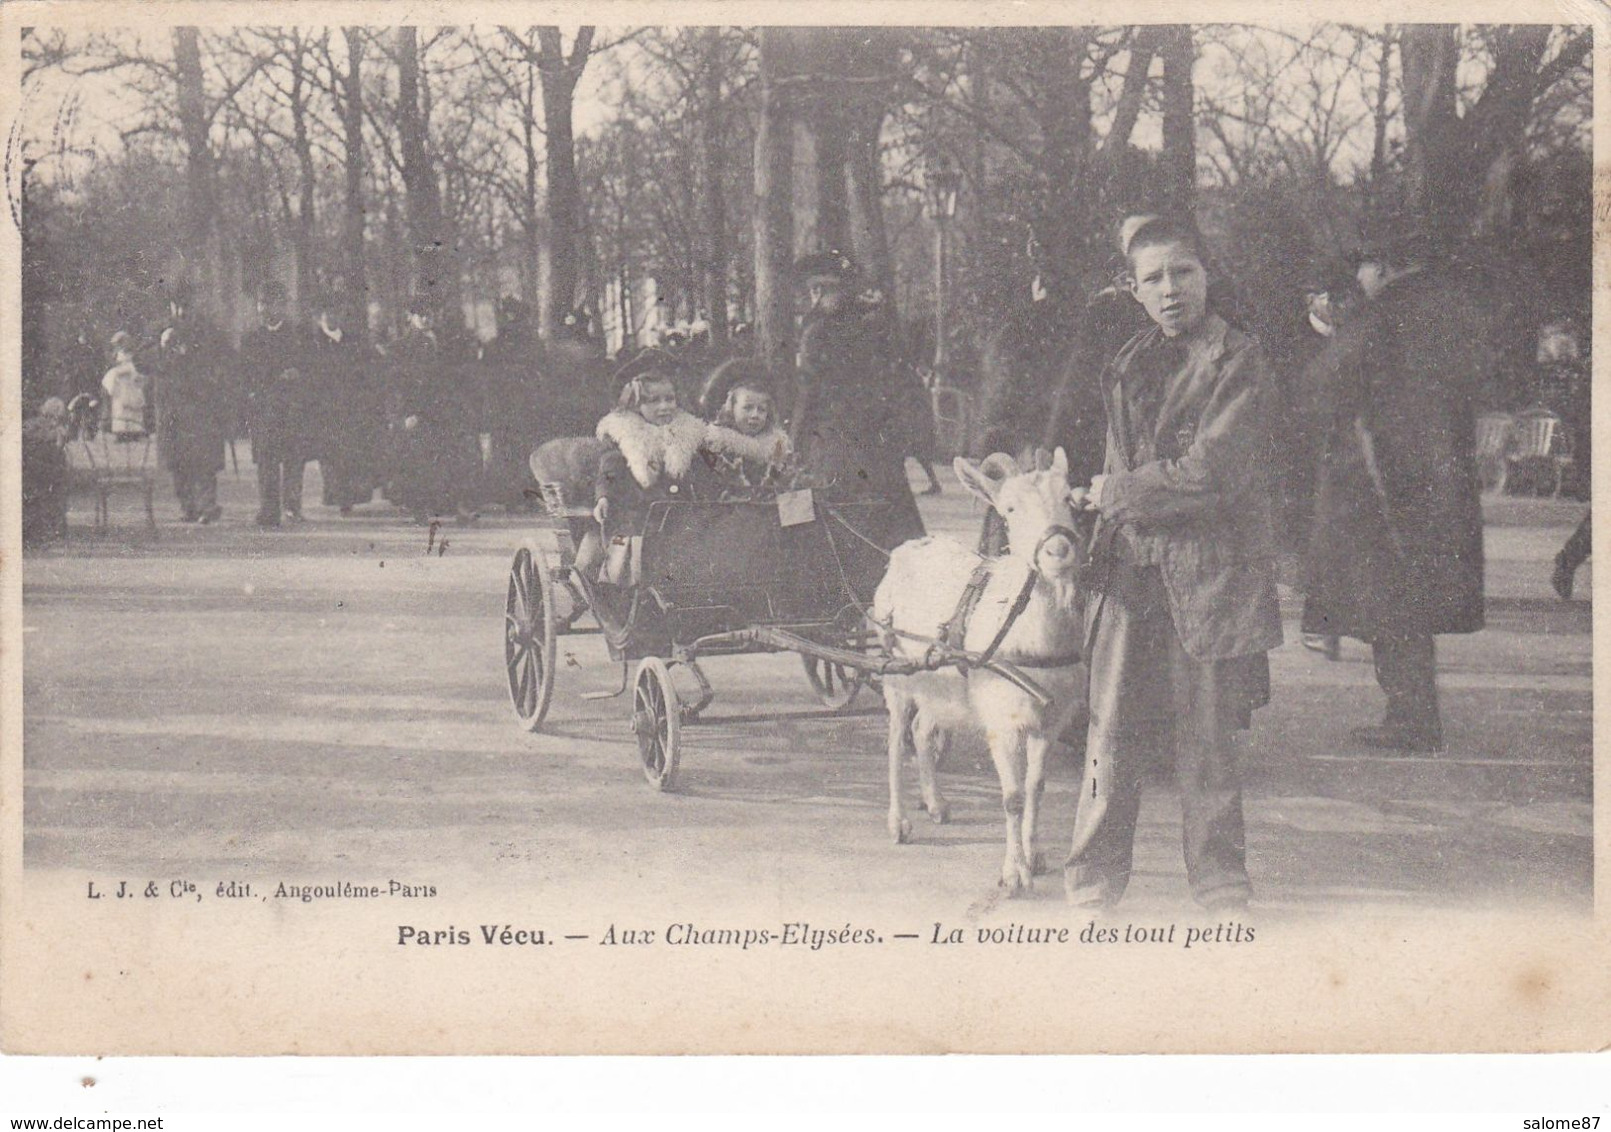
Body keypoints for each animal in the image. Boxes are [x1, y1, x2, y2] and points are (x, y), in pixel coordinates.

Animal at [876, 447, 1089, 901]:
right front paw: (1013, 875)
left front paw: (1036, 856)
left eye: (1069, 499)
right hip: (895, 673)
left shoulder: (1051, 720)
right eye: (1009, 508)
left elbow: (1036, 787)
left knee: (922, 729)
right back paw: (899, 822)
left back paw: (937, 803)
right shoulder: (1004, 722)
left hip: (941, 682)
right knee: (897, 739)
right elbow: (1012, 797)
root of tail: (907, 548)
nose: (1059, 551)